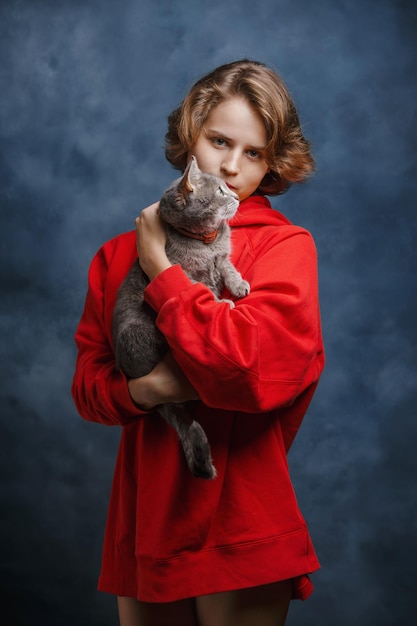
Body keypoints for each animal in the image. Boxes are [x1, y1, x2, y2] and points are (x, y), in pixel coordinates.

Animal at [111, 156, 250, 478]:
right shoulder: (186, 274)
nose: (237, 197)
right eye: (221, 191)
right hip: (138, 331)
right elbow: (201, 292)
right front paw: (222, 302)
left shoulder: (222, 258)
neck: (207, 241)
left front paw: (237, 285)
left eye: (228, 188)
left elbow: (228, 268)